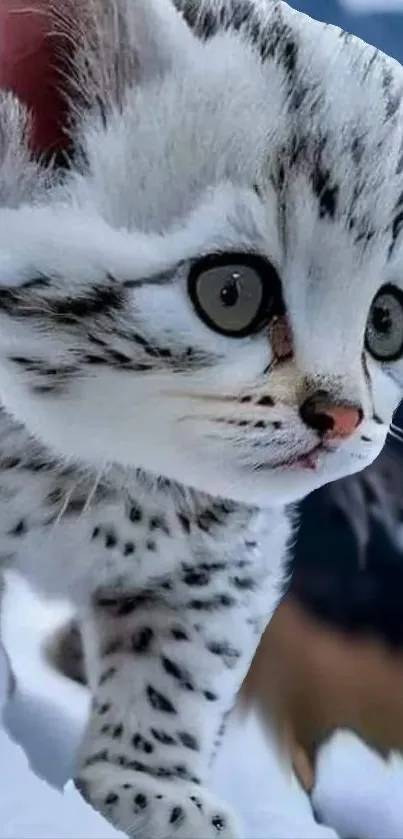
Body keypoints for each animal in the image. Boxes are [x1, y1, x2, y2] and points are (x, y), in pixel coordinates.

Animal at [0, 0, 403, 836]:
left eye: (387, 321)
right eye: (230, 292)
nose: (342, 415)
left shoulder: (227, 560)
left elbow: (180, 663)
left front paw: (144, 783)